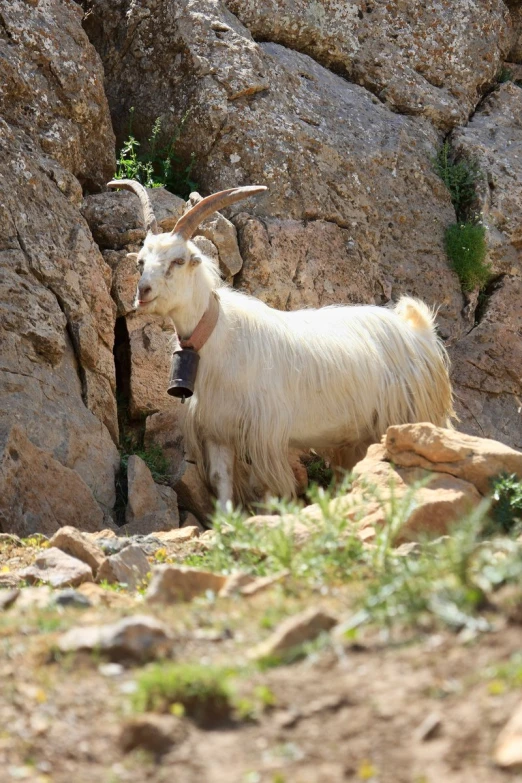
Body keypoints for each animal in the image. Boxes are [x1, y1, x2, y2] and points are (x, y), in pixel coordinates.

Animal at [108, 178, 450, 508]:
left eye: (178, 261)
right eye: (140, 262)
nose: (143, 292)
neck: (222, 338)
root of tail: (419, 331)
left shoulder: (265, 437)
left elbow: (270, 491)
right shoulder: (218, 432)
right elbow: (222, 484)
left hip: (407, 418)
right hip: (358, 435)